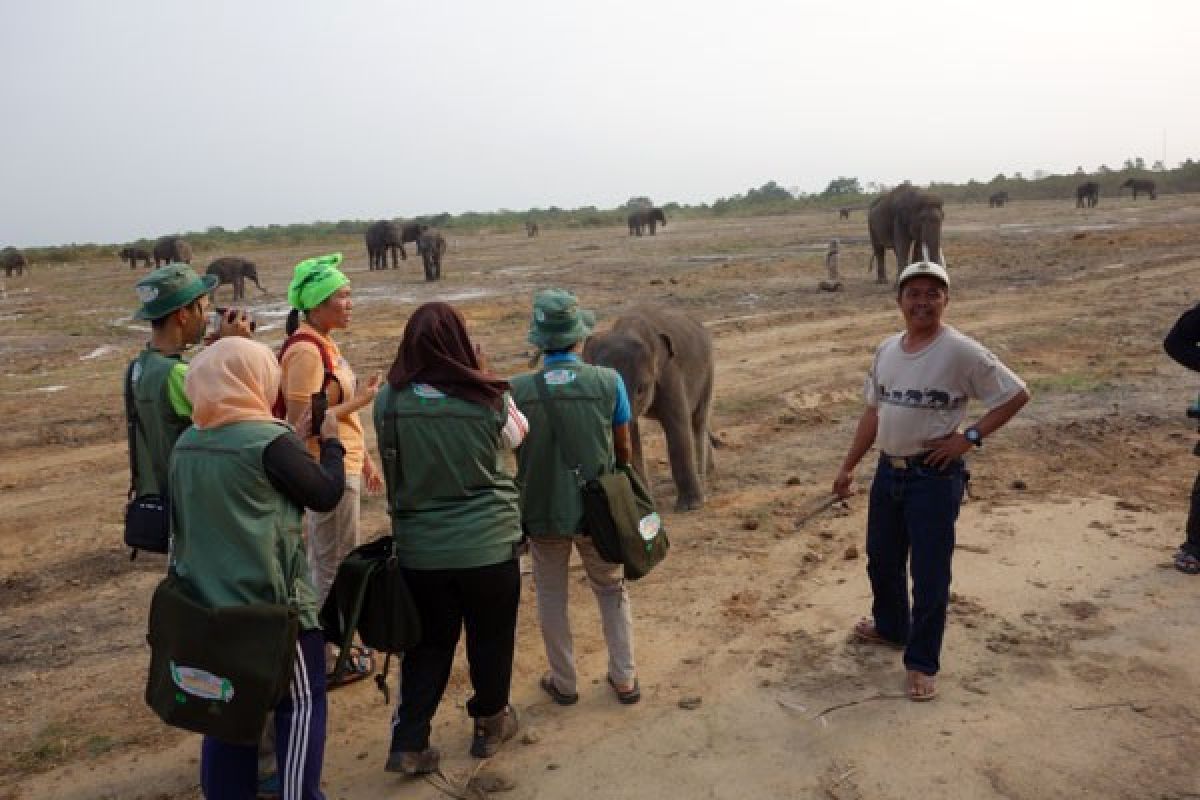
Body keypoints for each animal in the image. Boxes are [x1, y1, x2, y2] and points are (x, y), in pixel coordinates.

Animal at [585, 303, 715, 510]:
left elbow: (677, 426)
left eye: (641, 389)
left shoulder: (669, 374)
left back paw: (702, 481)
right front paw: (643, 505)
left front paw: (689, 506)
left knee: (697, 421)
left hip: (708, 370)